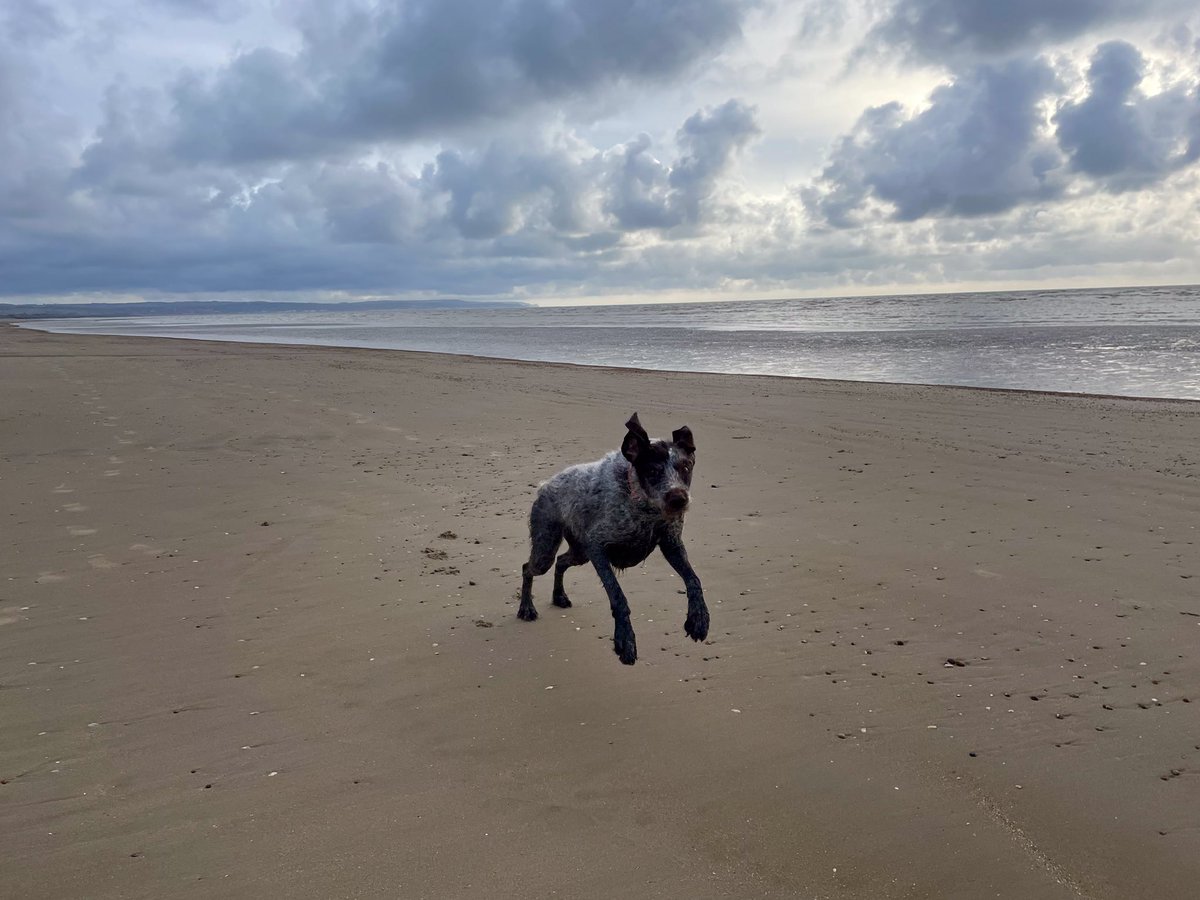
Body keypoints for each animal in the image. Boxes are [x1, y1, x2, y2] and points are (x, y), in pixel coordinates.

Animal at [518, 415, 710, 662]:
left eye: (685, 467)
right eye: (652, 471)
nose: (678, 499)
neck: (641, 505)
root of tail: (545, 485)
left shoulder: (671, 543)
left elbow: (693, 579)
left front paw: (699, 618)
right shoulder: (596, 547)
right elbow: (617, 595)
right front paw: (625, 639)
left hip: (579, 553)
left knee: (561, 562)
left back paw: (559, 596)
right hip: (547, 548)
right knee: (528, 568)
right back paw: (526, 608)